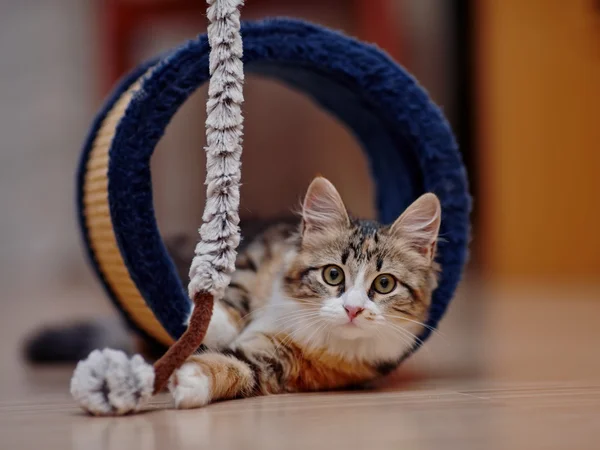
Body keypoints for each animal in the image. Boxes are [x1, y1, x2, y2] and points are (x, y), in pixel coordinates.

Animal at [169, 178, 440, 410]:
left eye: (384, 283)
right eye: (333, 275)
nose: (353, 309)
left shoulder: (278, 360)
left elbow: (236, 364)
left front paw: (187, 380)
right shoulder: (264, 250)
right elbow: (241, 283)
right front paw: (210, 322)